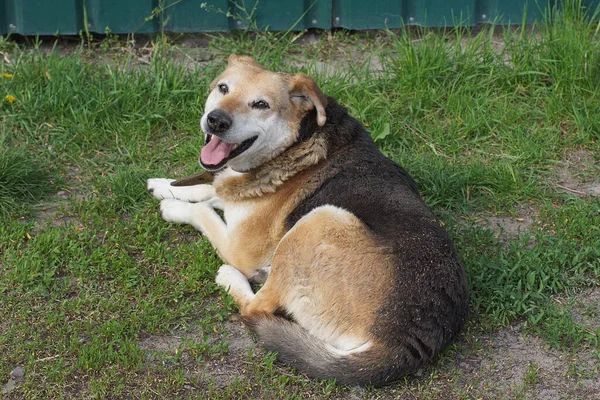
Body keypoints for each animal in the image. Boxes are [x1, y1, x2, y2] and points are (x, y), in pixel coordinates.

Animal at [146, 54, 468, 386]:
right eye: (223, 88)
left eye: (261, 104)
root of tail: (403, 340)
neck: (296, 141)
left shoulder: (241, 248)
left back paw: (231, 277)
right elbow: (211, 188)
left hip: (320, 220)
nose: (216, 120)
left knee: (256, 308)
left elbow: (206, 208)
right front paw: (165, 185)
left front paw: (172, 205)